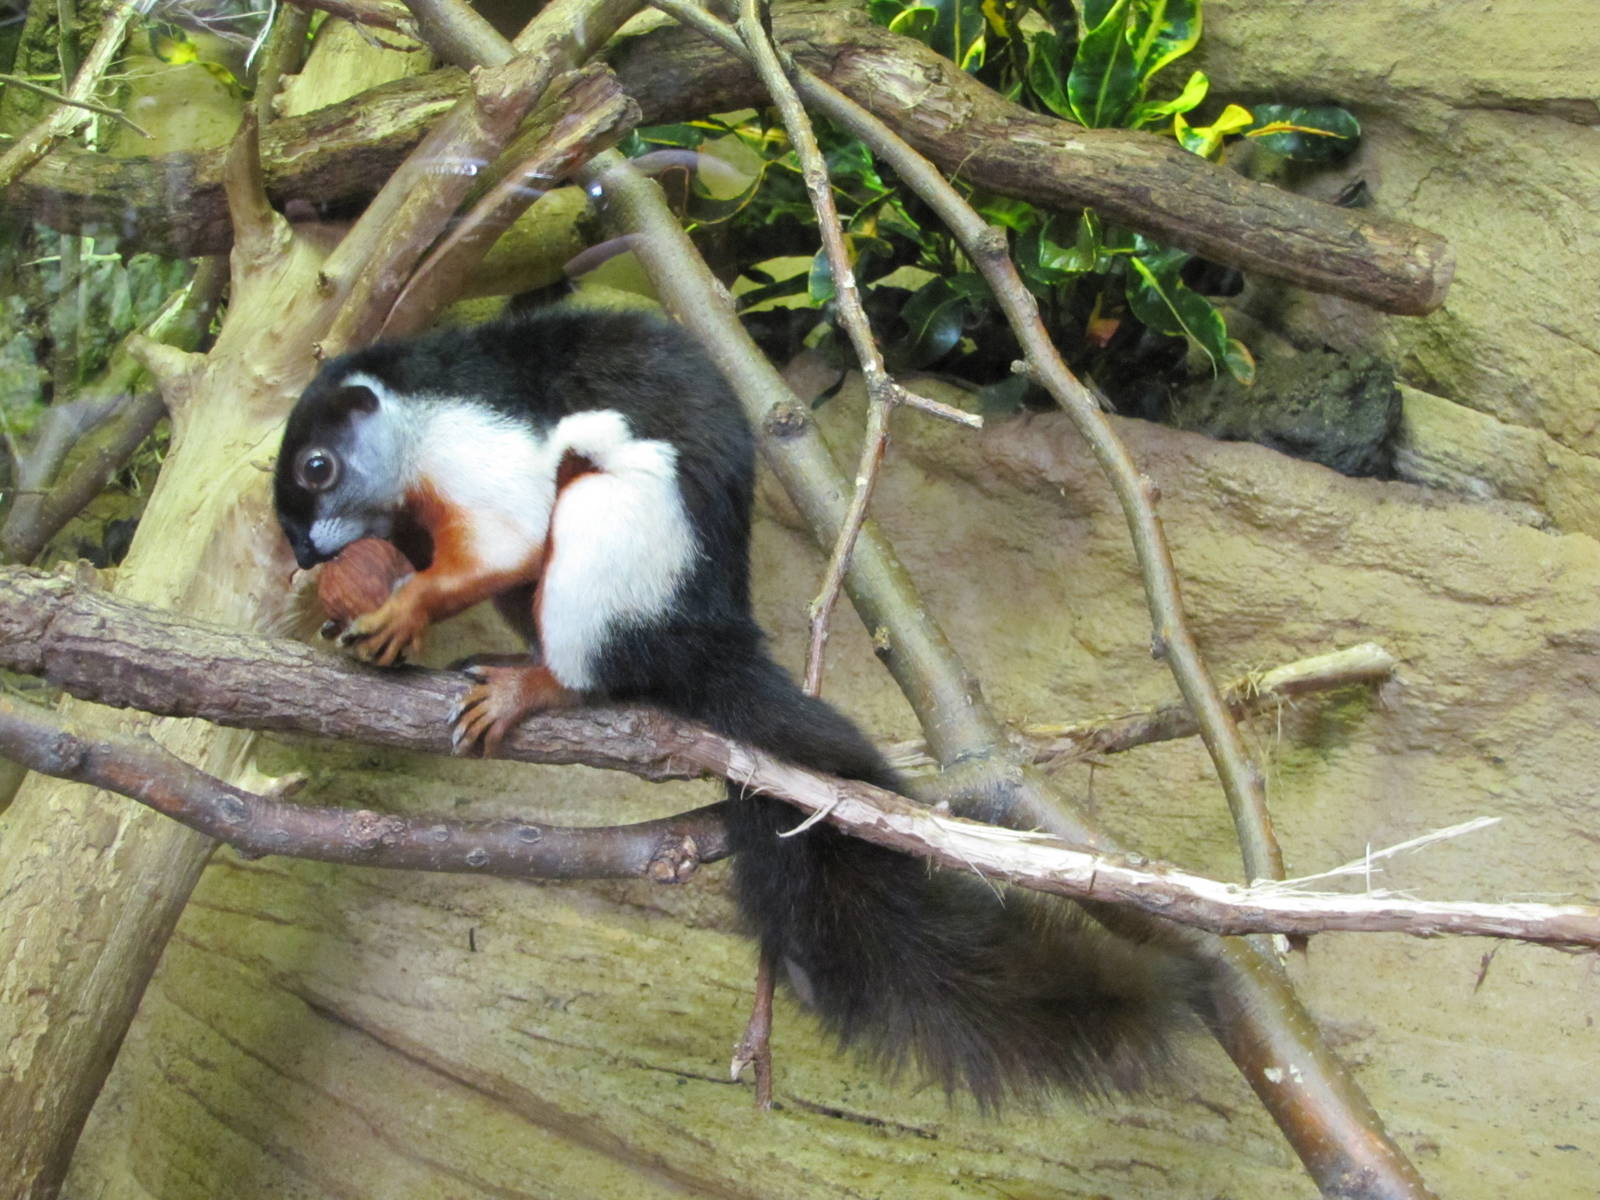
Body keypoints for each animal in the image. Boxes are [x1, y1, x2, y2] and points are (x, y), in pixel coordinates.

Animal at [274, 307, 1195, 1106]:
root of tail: (702, 631)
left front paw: (406, 609)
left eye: (318, 468)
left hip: (620, 532)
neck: (412, 418)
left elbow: (510, 532)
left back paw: (536, 683)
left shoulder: (473, 441)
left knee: (589, 621)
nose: (305, 551)